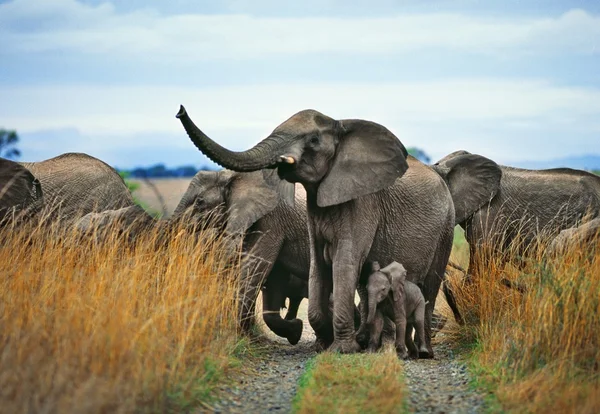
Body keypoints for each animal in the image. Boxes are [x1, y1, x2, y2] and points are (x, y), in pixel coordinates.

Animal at [175, 105, 502, 354]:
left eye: (313, 141)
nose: (179, 110)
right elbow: (318, 267)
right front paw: (320, 342)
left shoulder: (358, 204)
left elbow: (341, 261)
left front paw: (340, 350)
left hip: (444, 229)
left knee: (429, 286)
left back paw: (416, 349)